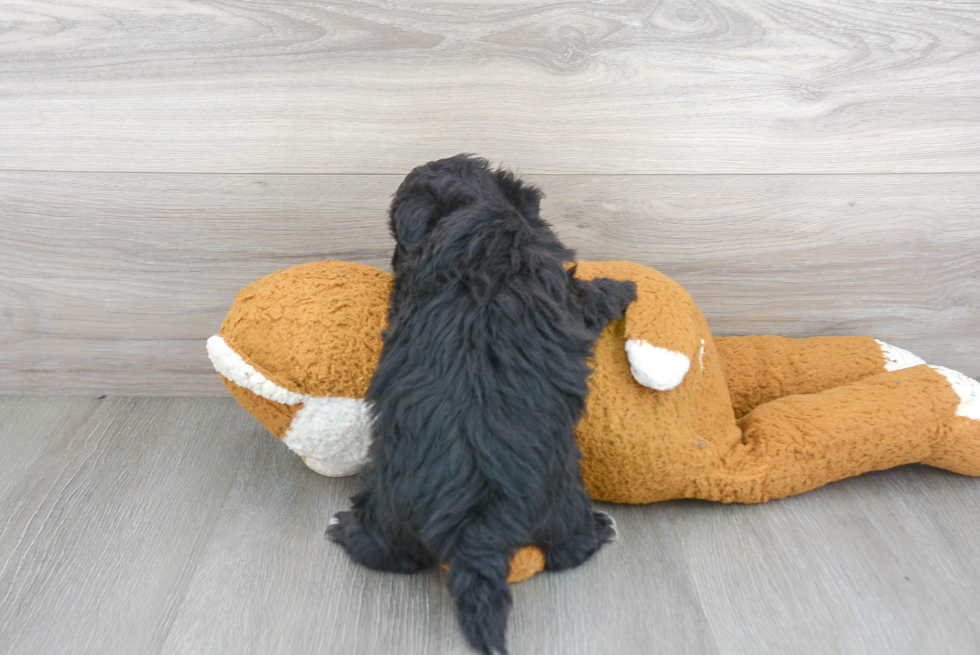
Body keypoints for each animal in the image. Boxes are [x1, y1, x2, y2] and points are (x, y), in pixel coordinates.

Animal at [328, 156, 636, 652]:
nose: (394, 260)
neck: (465, 220)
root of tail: (475, 525)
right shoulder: (561, 285)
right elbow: (588, 295)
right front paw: (624, 287)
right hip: (562, 498)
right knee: (566, 548)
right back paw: (598, 531)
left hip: (393, 505)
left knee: (392, 553)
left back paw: (349, 529)